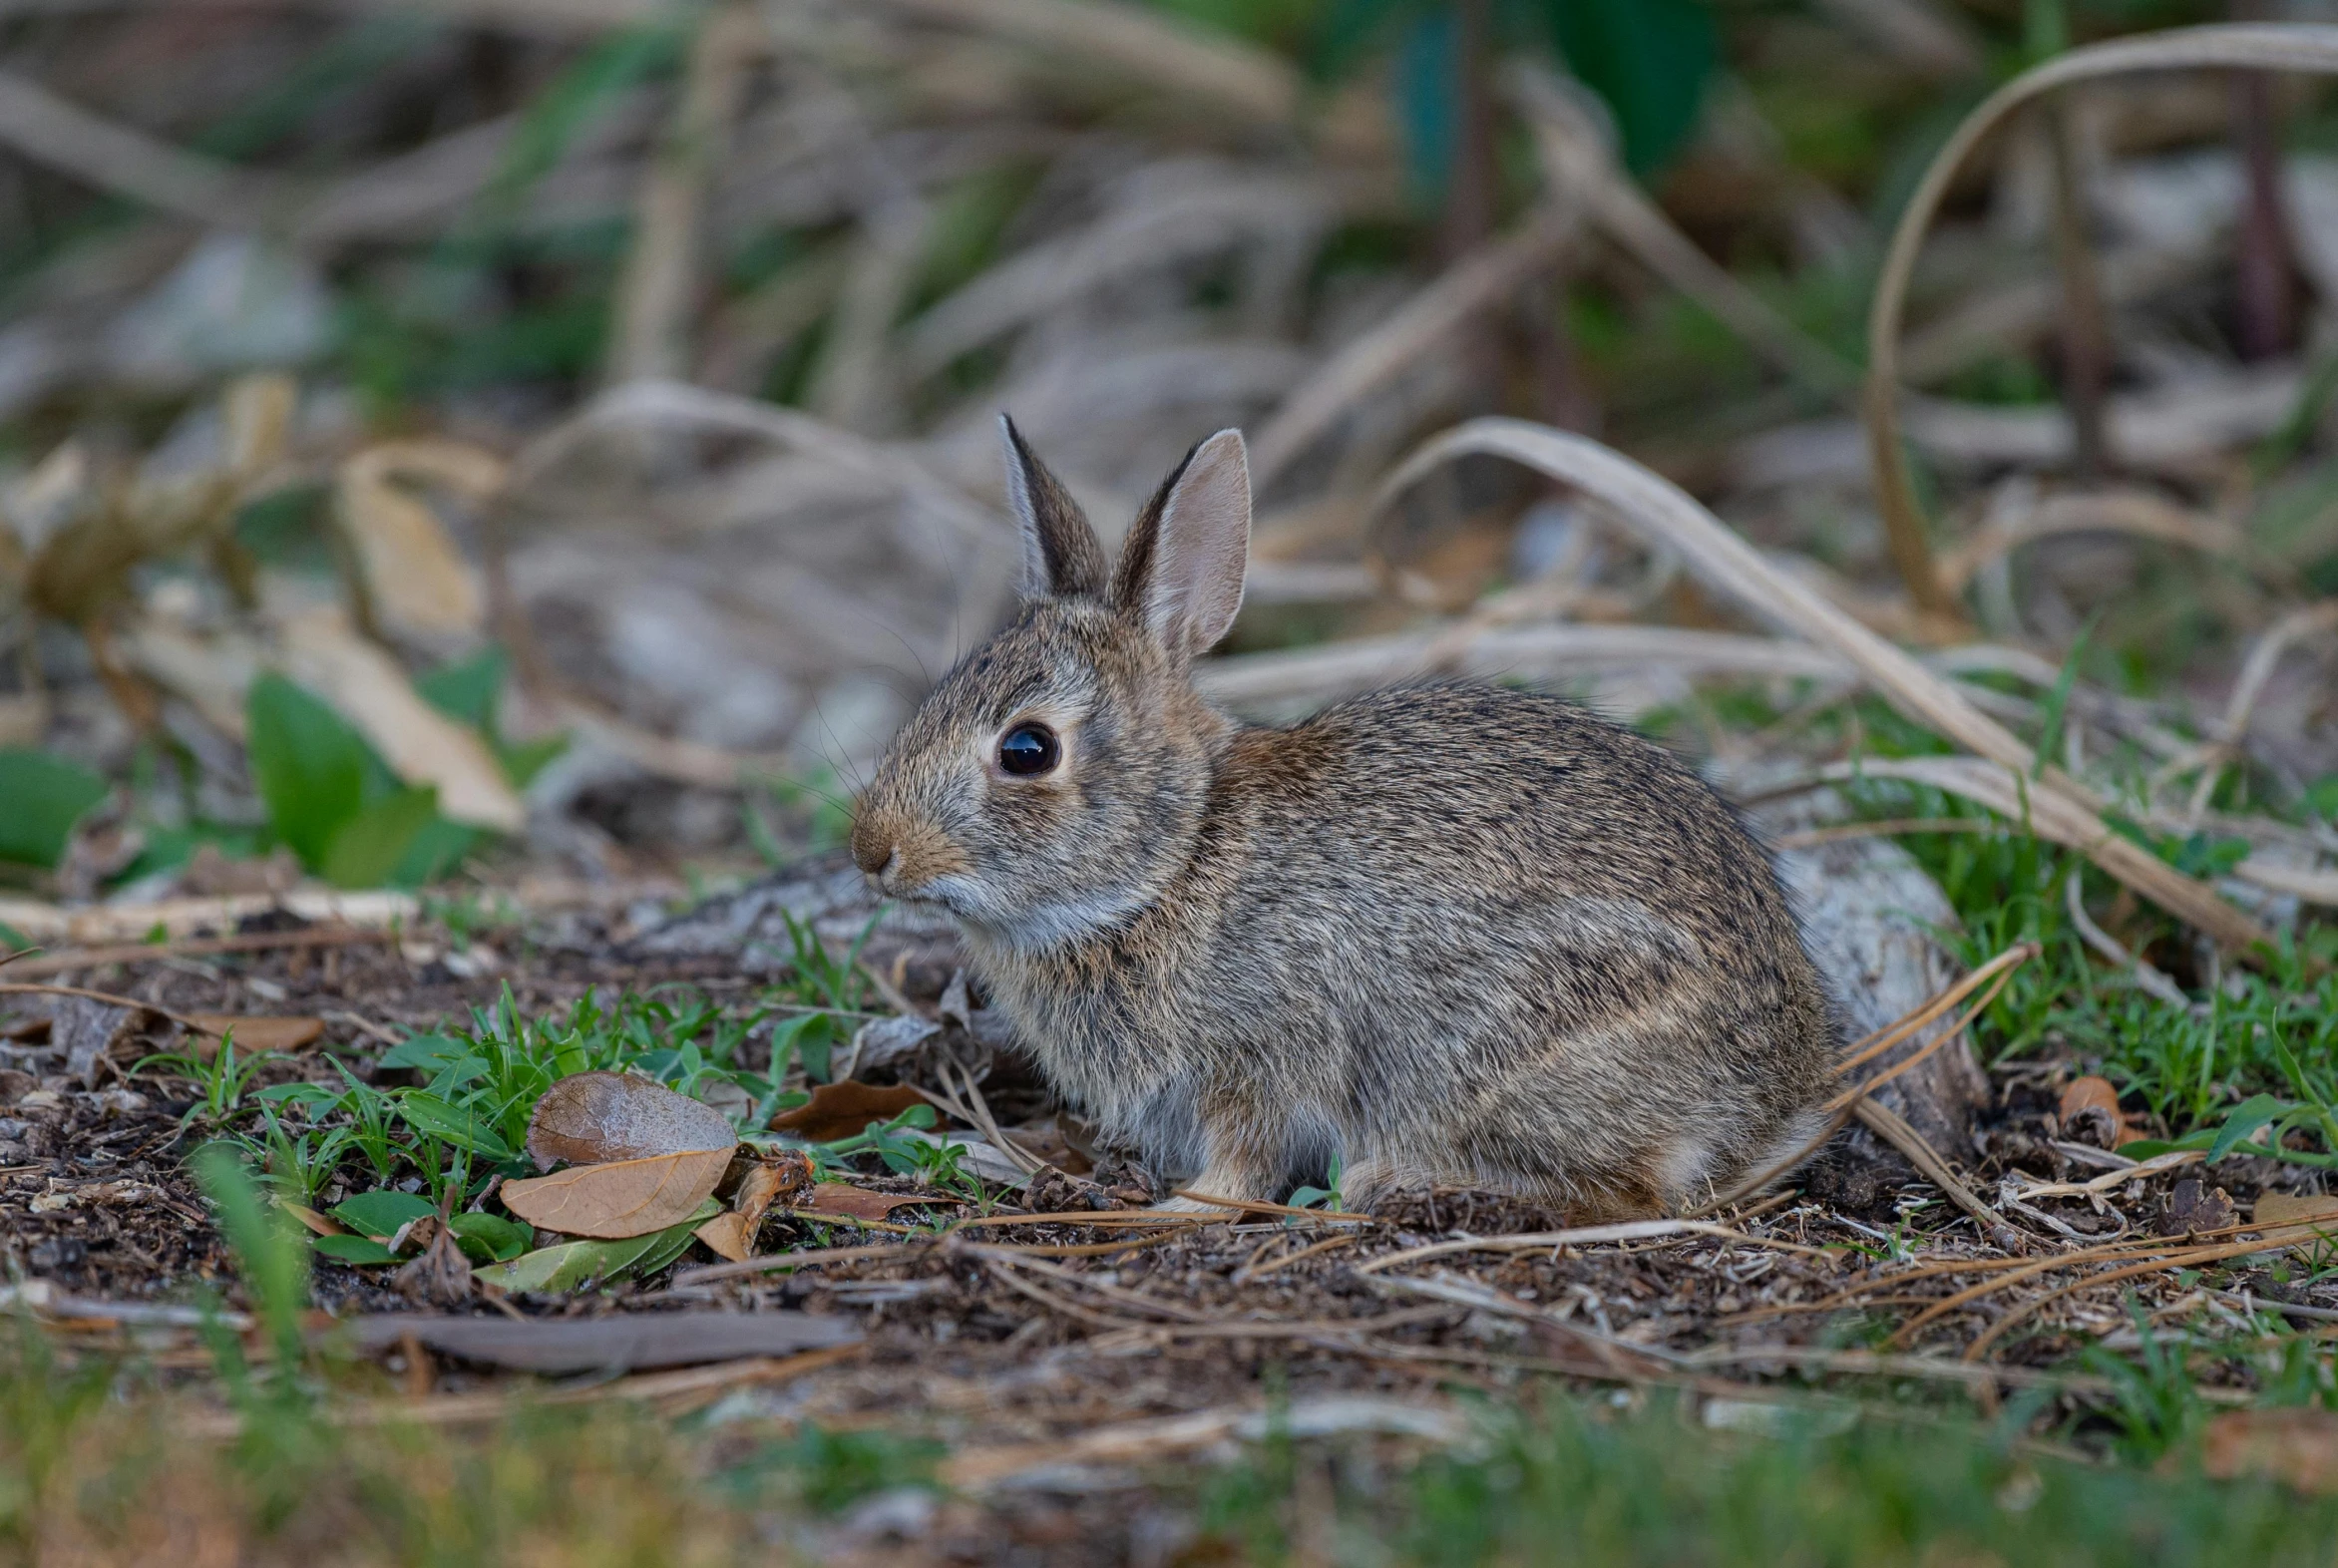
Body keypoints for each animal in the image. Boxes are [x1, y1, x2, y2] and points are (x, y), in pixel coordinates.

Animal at [851, 423, 1832, 1224]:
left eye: (1027, 749)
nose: (872, 851)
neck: (1176, 862)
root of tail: (1769, 1097)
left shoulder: (1262, 1061)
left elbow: (1244, 1159)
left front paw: (1186, 1207)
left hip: (1484, 1059)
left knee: (1633, 1191)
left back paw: (1395, 1183)